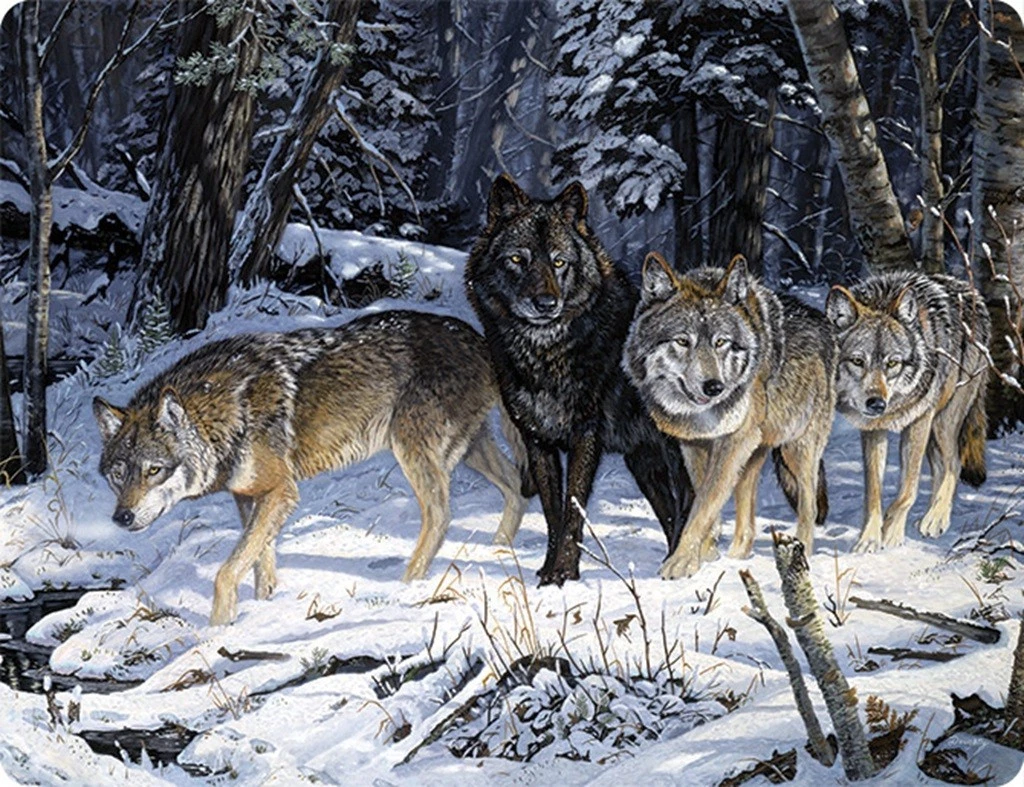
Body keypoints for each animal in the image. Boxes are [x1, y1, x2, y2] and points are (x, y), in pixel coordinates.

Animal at [93, 310, 526, 625]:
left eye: (153, 470)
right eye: (118, 475)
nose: (121, 517)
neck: (227, 414)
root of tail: (479, 339)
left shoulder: (281, 491)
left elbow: (226, 572)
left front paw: (217, 630)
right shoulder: (250, 497)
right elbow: (260, 564)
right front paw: (262, 608)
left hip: (415, 451)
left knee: (441, 514)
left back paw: (408, 584)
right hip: (469, 450)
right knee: (517, 487)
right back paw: (501, 550)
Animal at [464, 174, 694, 585]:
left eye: (559, 262)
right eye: (518, 259)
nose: (546, 304)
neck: (545, 355)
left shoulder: (585, 436)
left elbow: (574, 512)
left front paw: (563, 574)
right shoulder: (537, 440)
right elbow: (553, 513)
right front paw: (546, 572)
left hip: (674, 451)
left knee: (692, 502)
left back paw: (682, 566)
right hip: (643, 463)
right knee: (670, 512)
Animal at [623, 252, 837, 579]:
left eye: (721, 342)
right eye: (682, 341)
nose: (714, 387)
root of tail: (823, 319)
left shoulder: (732, 442)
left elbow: (704, 504)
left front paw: (680, 563)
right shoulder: (695, 445)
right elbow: (703, 499)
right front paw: (705, 555)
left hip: (796, 449)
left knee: (809, 506)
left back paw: (802, 551)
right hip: (753, 456)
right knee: (746, 521)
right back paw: (737, 558)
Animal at [825, 271, 990, 552]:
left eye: (892, 363)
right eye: (858, 361)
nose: (876, 404)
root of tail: (974, 294)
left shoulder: (918, 422)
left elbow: (907, 491)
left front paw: (891, 534)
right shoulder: (873, 430)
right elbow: (873, 493)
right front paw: (869, 539)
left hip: (942, 422)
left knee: (954, 463)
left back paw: (936, 519)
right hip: (933, 433)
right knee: (940, 467)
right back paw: (931, 517)